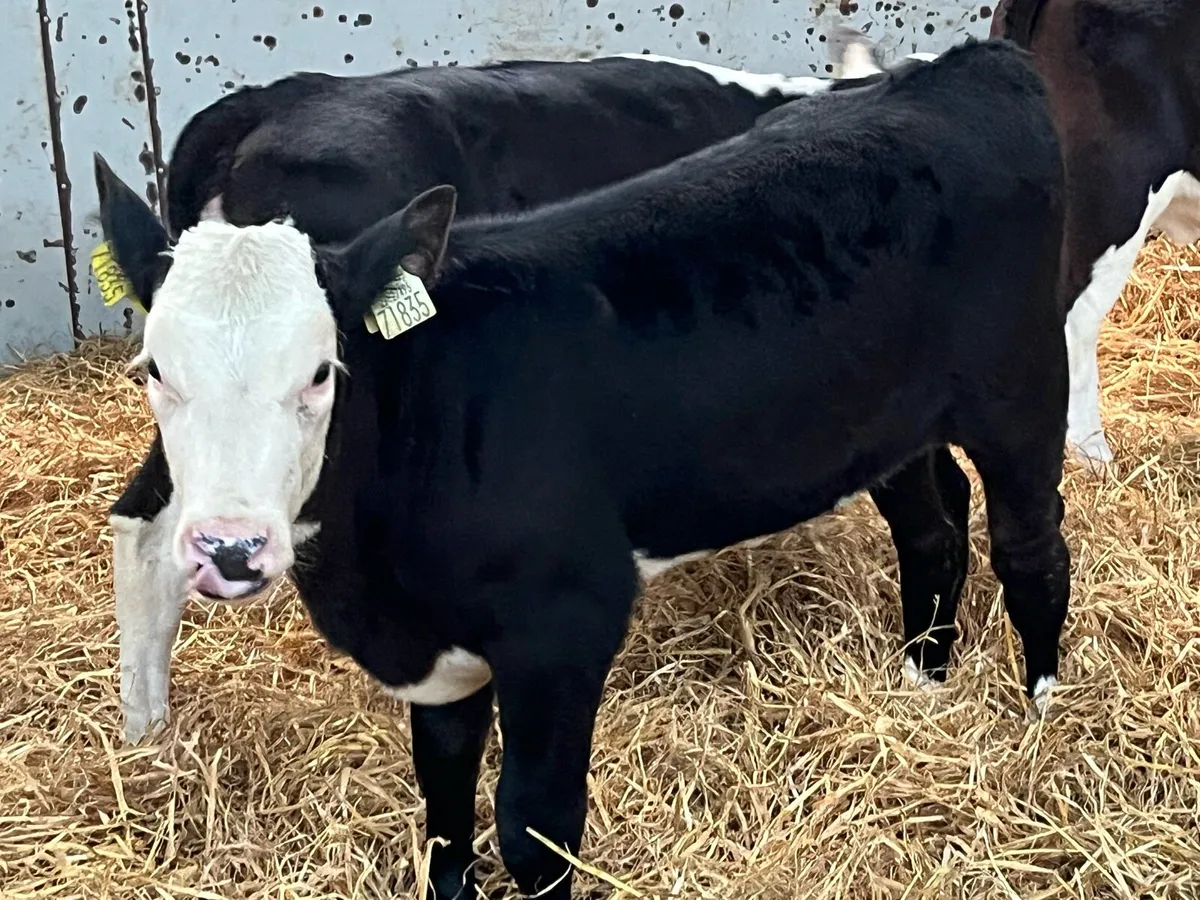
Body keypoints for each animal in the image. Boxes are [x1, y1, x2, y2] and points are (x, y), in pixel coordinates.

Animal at [97, 40, 1068, 898]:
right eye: (155, 368)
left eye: (321, 371)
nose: (231, 548)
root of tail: (962, 66)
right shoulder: (440, 647)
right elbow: (443, 802)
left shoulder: (567, 621)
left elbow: (534, 830)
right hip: (886, 419)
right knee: (934, 528)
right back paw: (924, 680)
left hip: (1019, 390)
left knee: (1031, 550)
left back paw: (1041, 719)